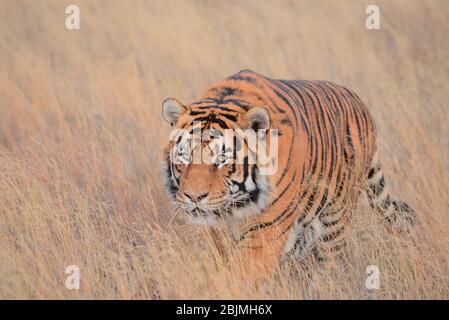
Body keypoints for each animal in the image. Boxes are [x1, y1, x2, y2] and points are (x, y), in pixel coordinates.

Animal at [160, 69, 412, 282]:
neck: (236, 205)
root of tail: (360, 104)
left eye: (222, 159)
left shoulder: (267, 229)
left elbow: (243, 272)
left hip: (335, 219)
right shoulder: (217, 231)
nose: (194, 197)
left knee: (331, 261)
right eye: (184, 156)